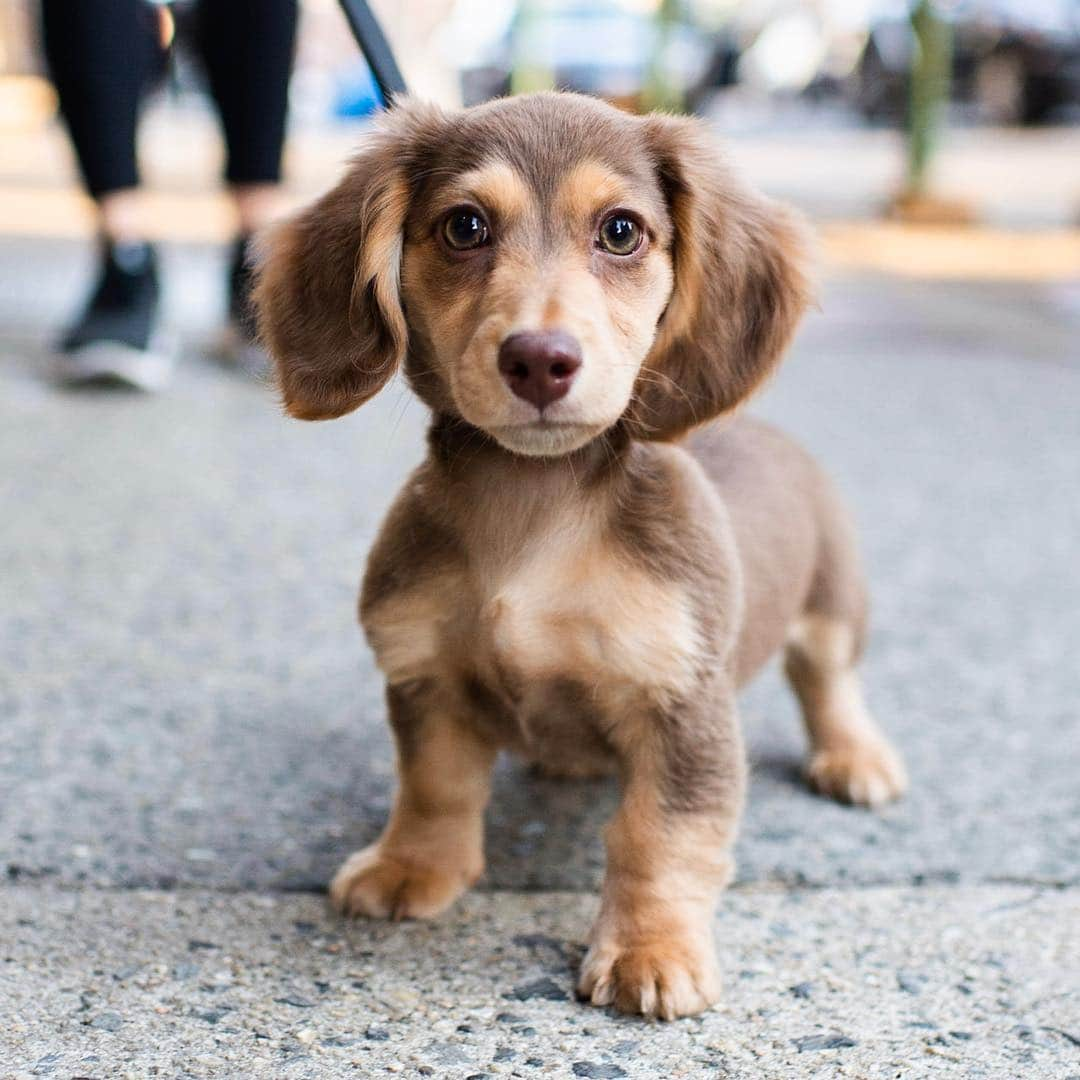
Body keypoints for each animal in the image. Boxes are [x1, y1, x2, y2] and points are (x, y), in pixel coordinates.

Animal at [257, 92, 907, 1019]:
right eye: (463, 226)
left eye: (622, 231)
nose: (540, 359)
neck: (537, 513)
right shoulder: (425, 678)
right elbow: (434, 786)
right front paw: (412, 866)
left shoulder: (683, 704)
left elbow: (661, 833)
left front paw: (651, 948)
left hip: (832, 603)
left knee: (830, 681)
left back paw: (855, 758)